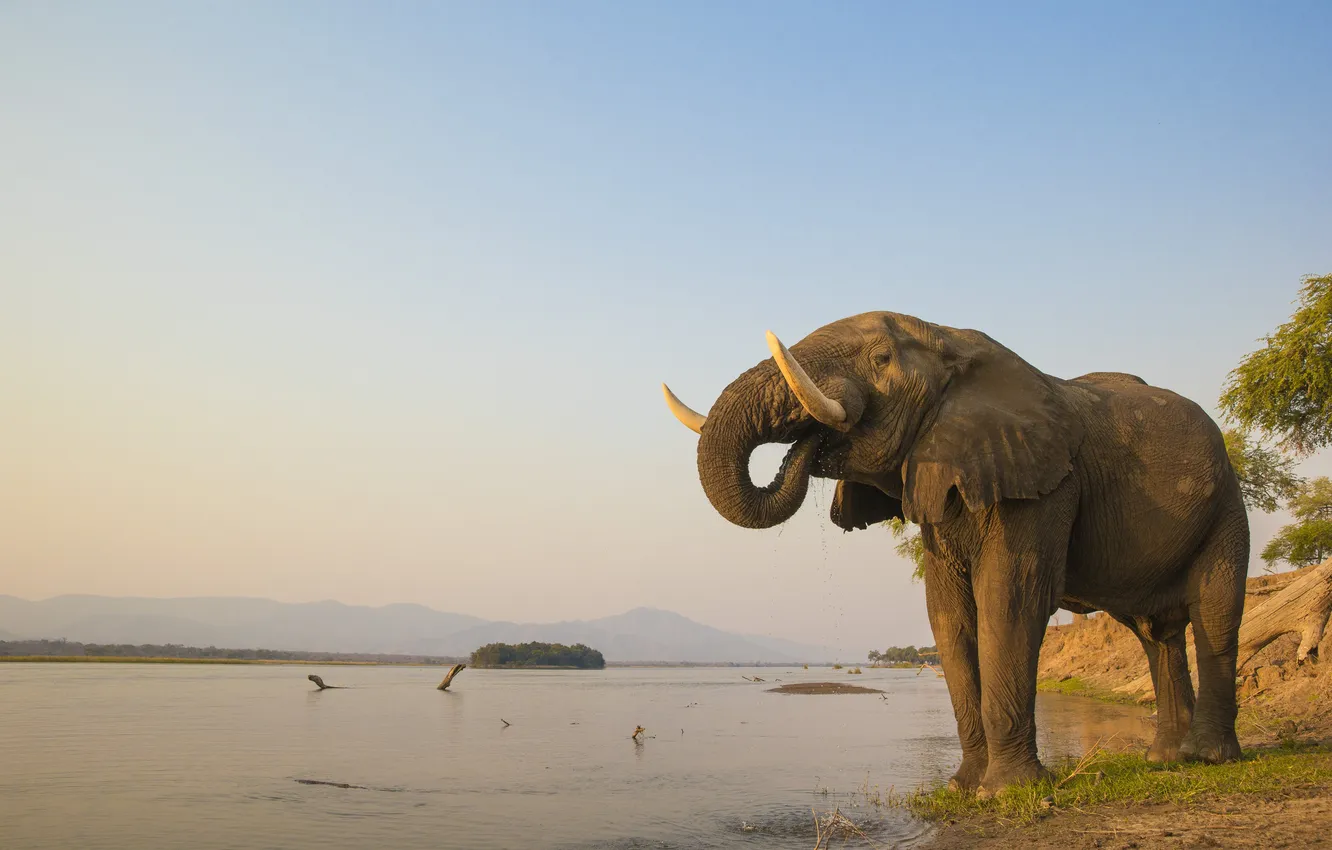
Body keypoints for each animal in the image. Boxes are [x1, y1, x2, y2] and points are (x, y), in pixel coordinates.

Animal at [662, 312, 1248, 796]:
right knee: (1155, 634)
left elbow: (1009, 602)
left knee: (1214, 615)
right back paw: (1164, 760)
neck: (951, 341)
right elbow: (948, 615)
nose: (811, 442)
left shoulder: (1043, 486)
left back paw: (1208, 758)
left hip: (1227, 504)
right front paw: (963, 788)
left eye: (881, 359)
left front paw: (1004, 793)